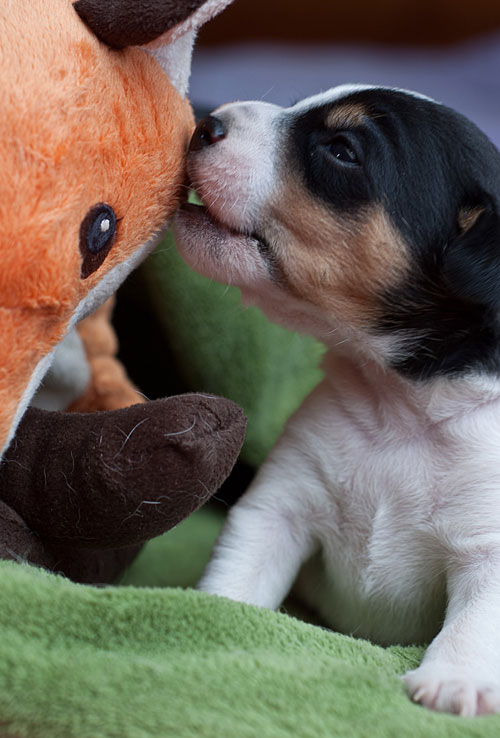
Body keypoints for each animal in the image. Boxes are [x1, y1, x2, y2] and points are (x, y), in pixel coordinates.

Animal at [174, 85, 500, 712]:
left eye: (343, 150)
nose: (204, 123)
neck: (401, 409)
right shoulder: (280, 506)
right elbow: (241, 571)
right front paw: (211, 616)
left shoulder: (489, 547)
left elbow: (478, 622)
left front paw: (455, 681)